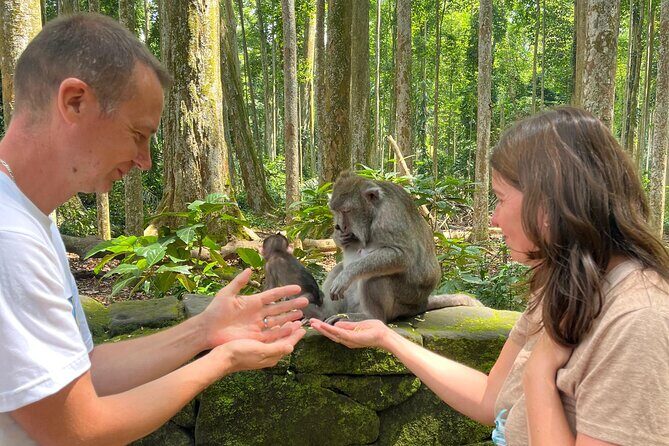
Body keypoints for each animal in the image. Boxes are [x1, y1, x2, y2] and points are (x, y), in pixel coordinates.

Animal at [320, 171, 482, 324]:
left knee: (374, 276)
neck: (374, 213)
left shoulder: (387, 219)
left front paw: (347, 275)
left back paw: (370, 316)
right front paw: (339, 237)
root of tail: (421, 303)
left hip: (404, 301)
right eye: (335, 211)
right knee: (339, 268)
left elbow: (403, 256)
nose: (340, 226)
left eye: (346, 211)